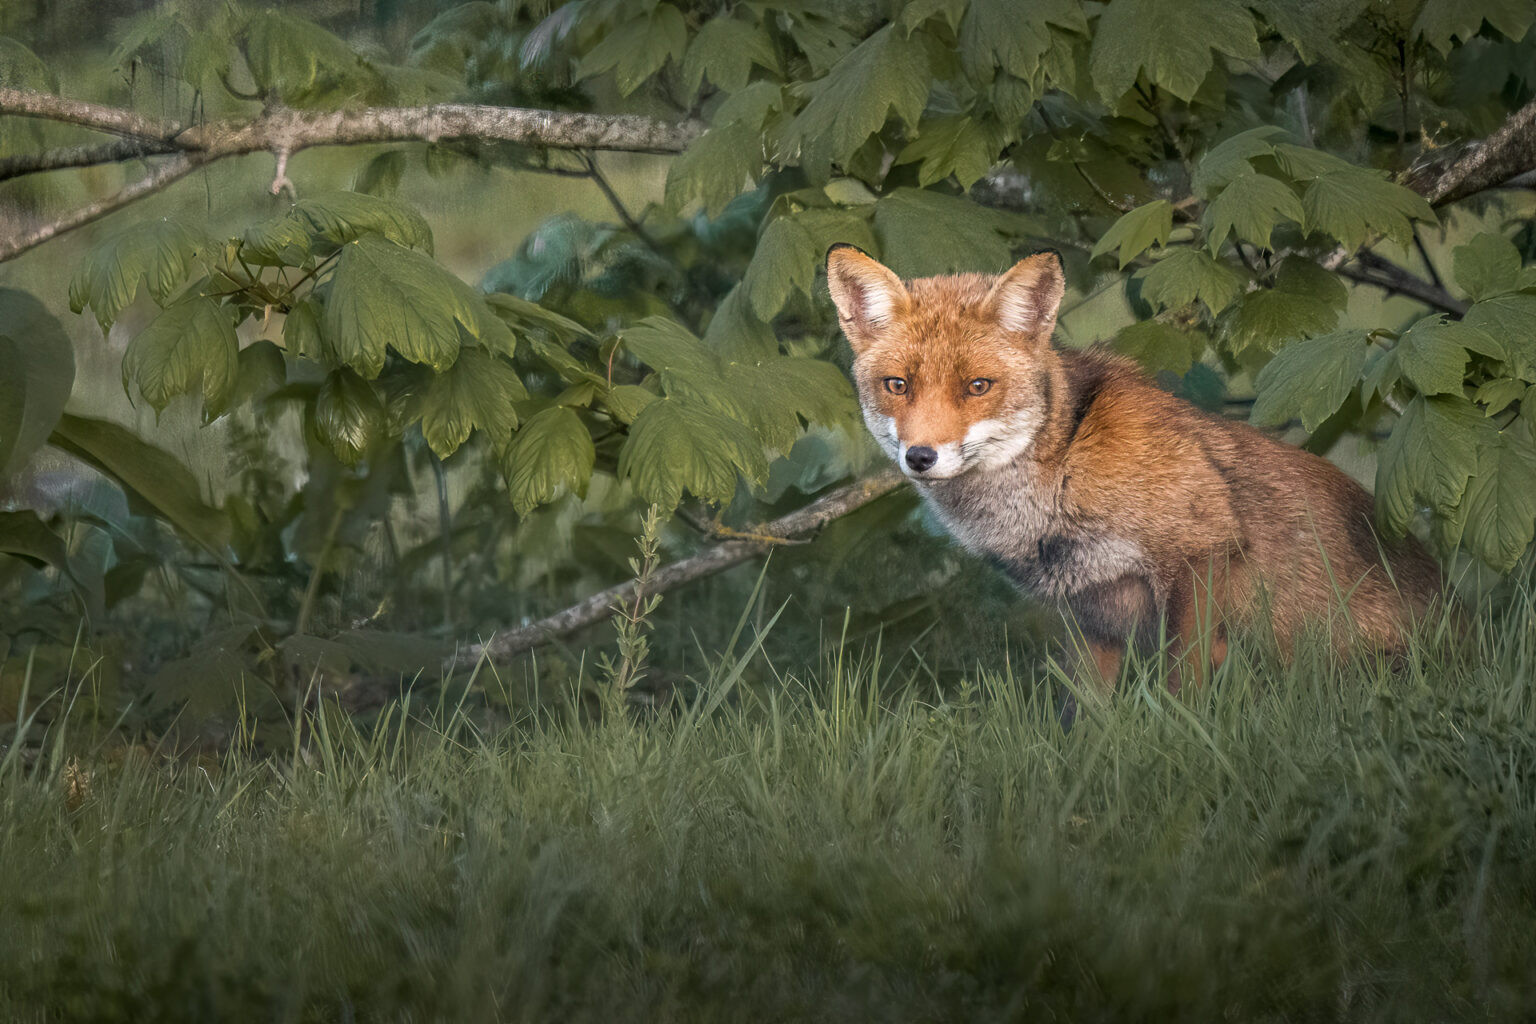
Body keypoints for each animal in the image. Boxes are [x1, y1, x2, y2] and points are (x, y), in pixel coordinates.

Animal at [825, 244, 1444, 691]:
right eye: (897, 386)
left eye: (977, 387)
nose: (920, 457)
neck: (1062, 473)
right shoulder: (1090, 610)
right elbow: (1084, 714)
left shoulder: (1200, 554)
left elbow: (1182, 688)